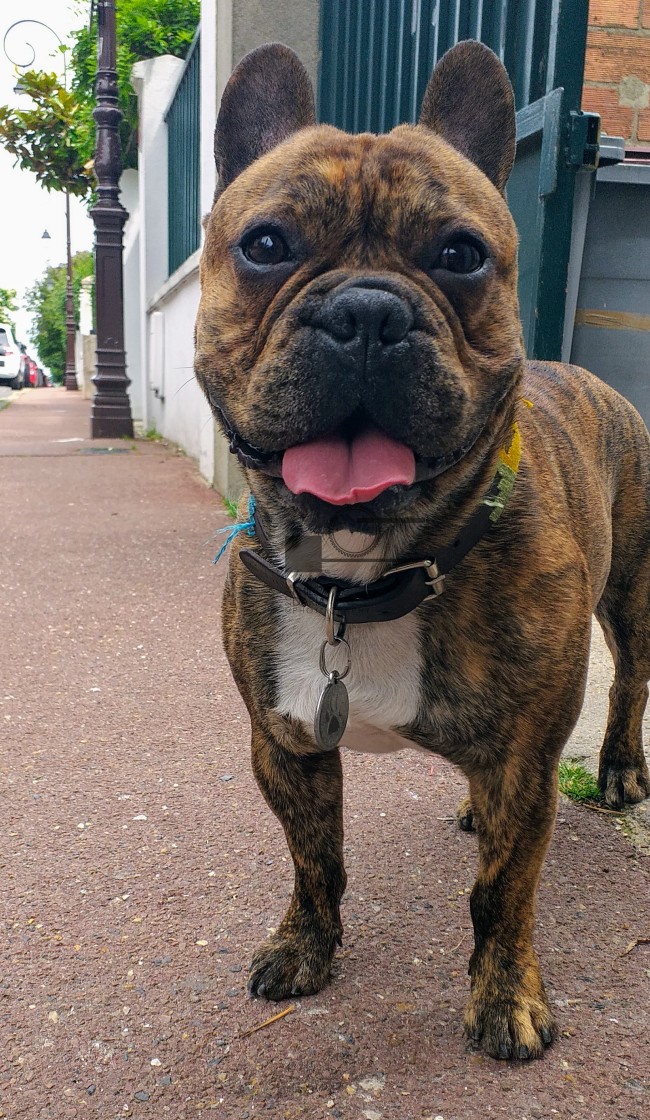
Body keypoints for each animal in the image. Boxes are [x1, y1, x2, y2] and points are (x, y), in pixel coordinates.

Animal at [195, 41, 650, 1057]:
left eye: (461, 256)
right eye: (267, 245)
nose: (367, 312)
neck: (363, 576)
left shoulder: (527, 760)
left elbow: (503, 892)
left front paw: (506, 999)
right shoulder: (284, 746)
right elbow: (314, 858)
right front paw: (304, 947)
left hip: (637, 598)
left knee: (632, 685)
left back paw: (619, 770)